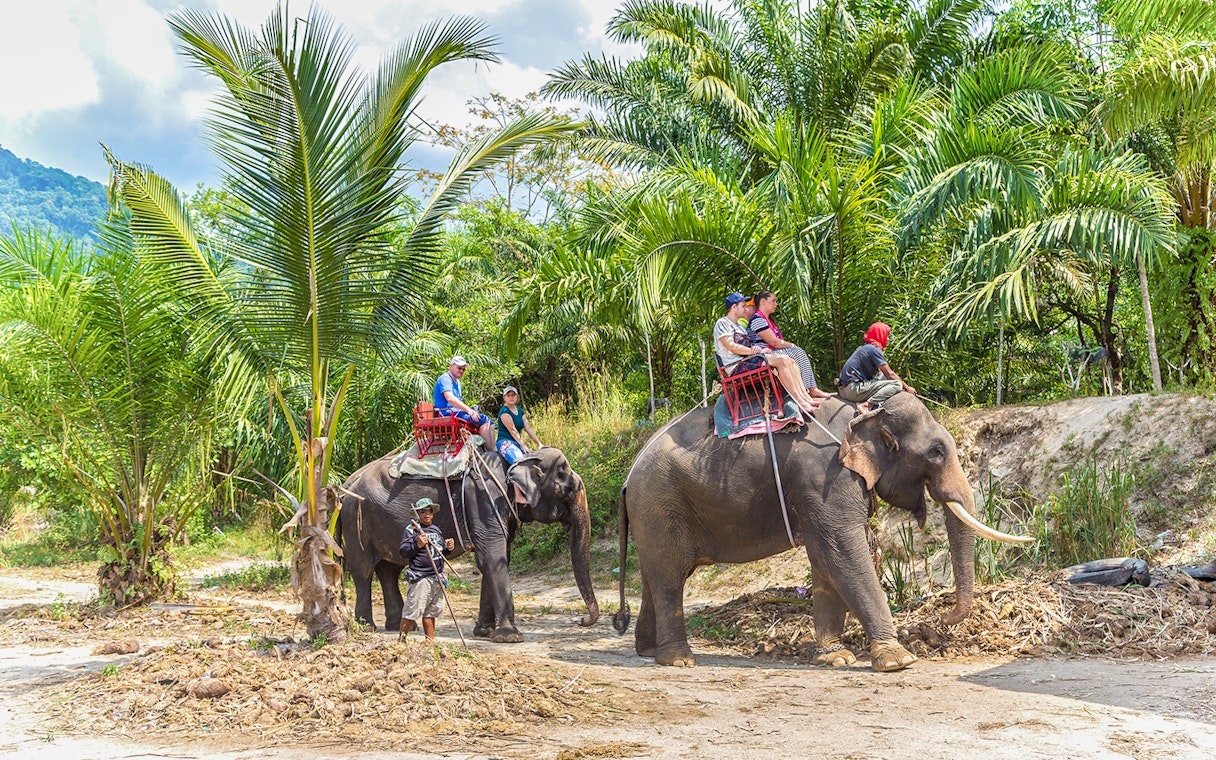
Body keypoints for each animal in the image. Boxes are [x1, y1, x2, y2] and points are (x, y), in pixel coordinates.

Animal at [338, 445, 598, 642]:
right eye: (568, 489)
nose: (581, 620)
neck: (518, 461)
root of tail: (346, 484)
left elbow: (497, 558)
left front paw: (484, 632)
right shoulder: (484, 498)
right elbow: (492, 558)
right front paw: (509, 637)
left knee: (389, 570)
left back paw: (400, 626)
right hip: (355, 520)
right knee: (363, 572)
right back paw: (368, 627)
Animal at [613, 393, 1029, 670]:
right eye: (937, 453)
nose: (942, 620)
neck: (865, 415)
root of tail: (628, 475)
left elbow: (824, 560)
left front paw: (837, 658)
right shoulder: (826, 477)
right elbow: (841, 551)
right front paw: (898, 659)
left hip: (655, 512)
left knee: (656, 575)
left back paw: (649, 651)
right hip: (660, 504)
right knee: (670, 576)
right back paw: (679, 661)